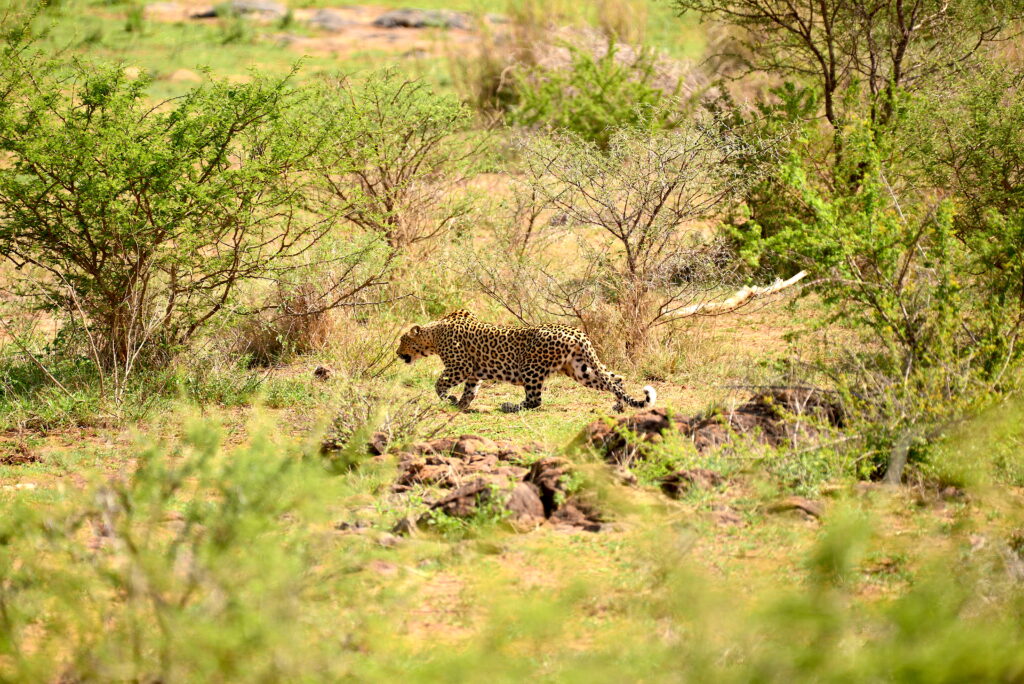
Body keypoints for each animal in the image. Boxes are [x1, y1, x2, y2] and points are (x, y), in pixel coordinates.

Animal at [393, 309, 655, 411]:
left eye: (402, 341)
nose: (396, 353)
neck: (433, 336)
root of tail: (576, 331)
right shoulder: (473, 373)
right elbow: (470, 391)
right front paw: (460, 404)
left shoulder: (460, 367)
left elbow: (439, 383)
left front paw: (449, 399)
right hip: (580, 370)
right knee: (616, 379)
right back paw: (619, 406)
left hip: (531, 368)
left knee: (534, 401)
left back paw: (509, 406)